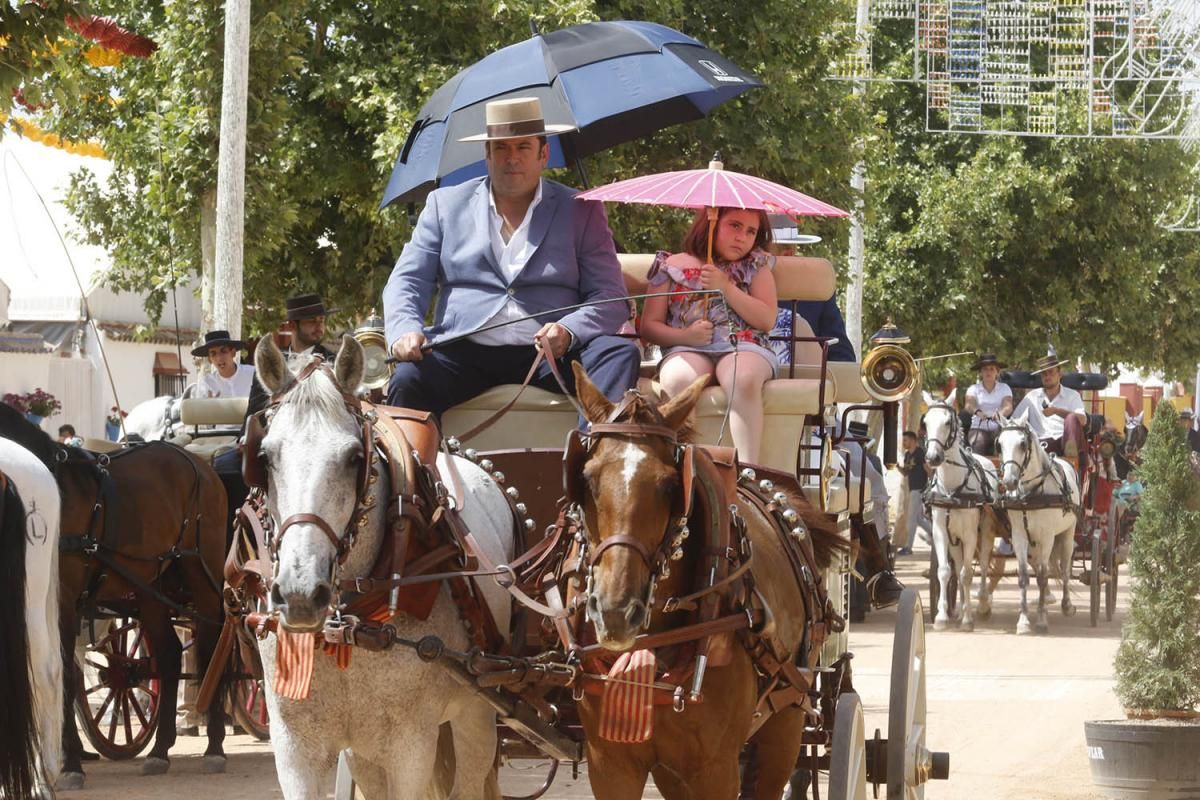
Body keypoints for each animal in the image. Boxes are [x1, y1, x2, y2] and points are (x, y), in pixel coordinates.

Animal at [0, 402, 228, 791]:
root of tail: (200, 465)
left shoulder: (62, 600)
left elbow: (65, 674)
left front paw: (70, 762)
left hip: (203, 576)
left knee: (212, 647)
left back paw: (214, 745)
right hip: (151, 586)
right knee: (169, 655)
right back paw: (160, 751)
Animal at [250, 335, 513, 800]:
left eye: (355, 457)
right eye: (265, 456)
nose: (300, 595)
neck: (347, 625)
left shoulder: (411, 746)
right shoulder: (296, 748)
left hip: (476, 712)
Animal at [921, 402, 998, 633]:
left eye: (948, 422)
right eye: (925, 422)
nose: (933, 458)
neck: (952, 491)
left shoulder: (971, 534)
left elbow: (967, 574)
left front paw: (968, 620)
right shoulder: (939, 532)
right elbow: (945, 571)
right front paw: (941, 617)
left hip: (986, 532)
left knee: (982, 565)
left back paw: (980, 605)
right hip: (954, 539)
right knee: (958, 564)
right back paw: (962, 609)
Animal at [993, 410, 1080, 633]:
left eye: (1023, 444)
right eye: (1000, 443)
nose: (1009, 481)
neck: (1030, 494)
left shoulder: (1047, 537)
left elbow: (1042, 576)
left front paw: (1041, 619)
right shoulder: (1019, 536)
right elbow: (1024, 577)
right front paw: (1023, 620)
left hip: (1067, 533)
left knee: (1064, 569)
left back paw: (1067, 605)